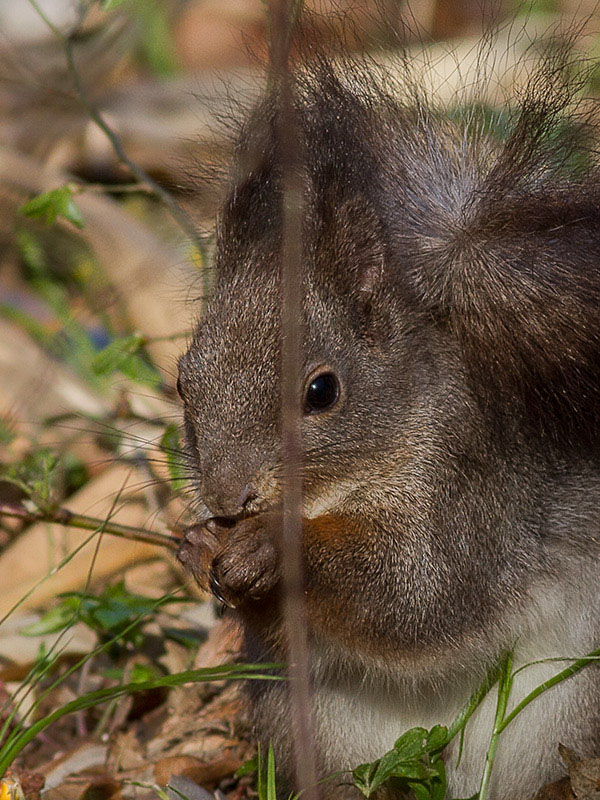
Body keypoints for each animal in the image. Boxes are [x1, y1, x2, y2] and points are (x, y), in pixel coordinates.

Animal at [176, 32, 600, 800]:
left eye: (322, 391)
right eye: (181, 382)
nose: (226, 501)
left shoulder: (474, 487)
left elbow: (417, 593)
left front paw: (275, 546)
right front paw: (197, 548)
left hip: (564, 709)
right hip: (312, 727)